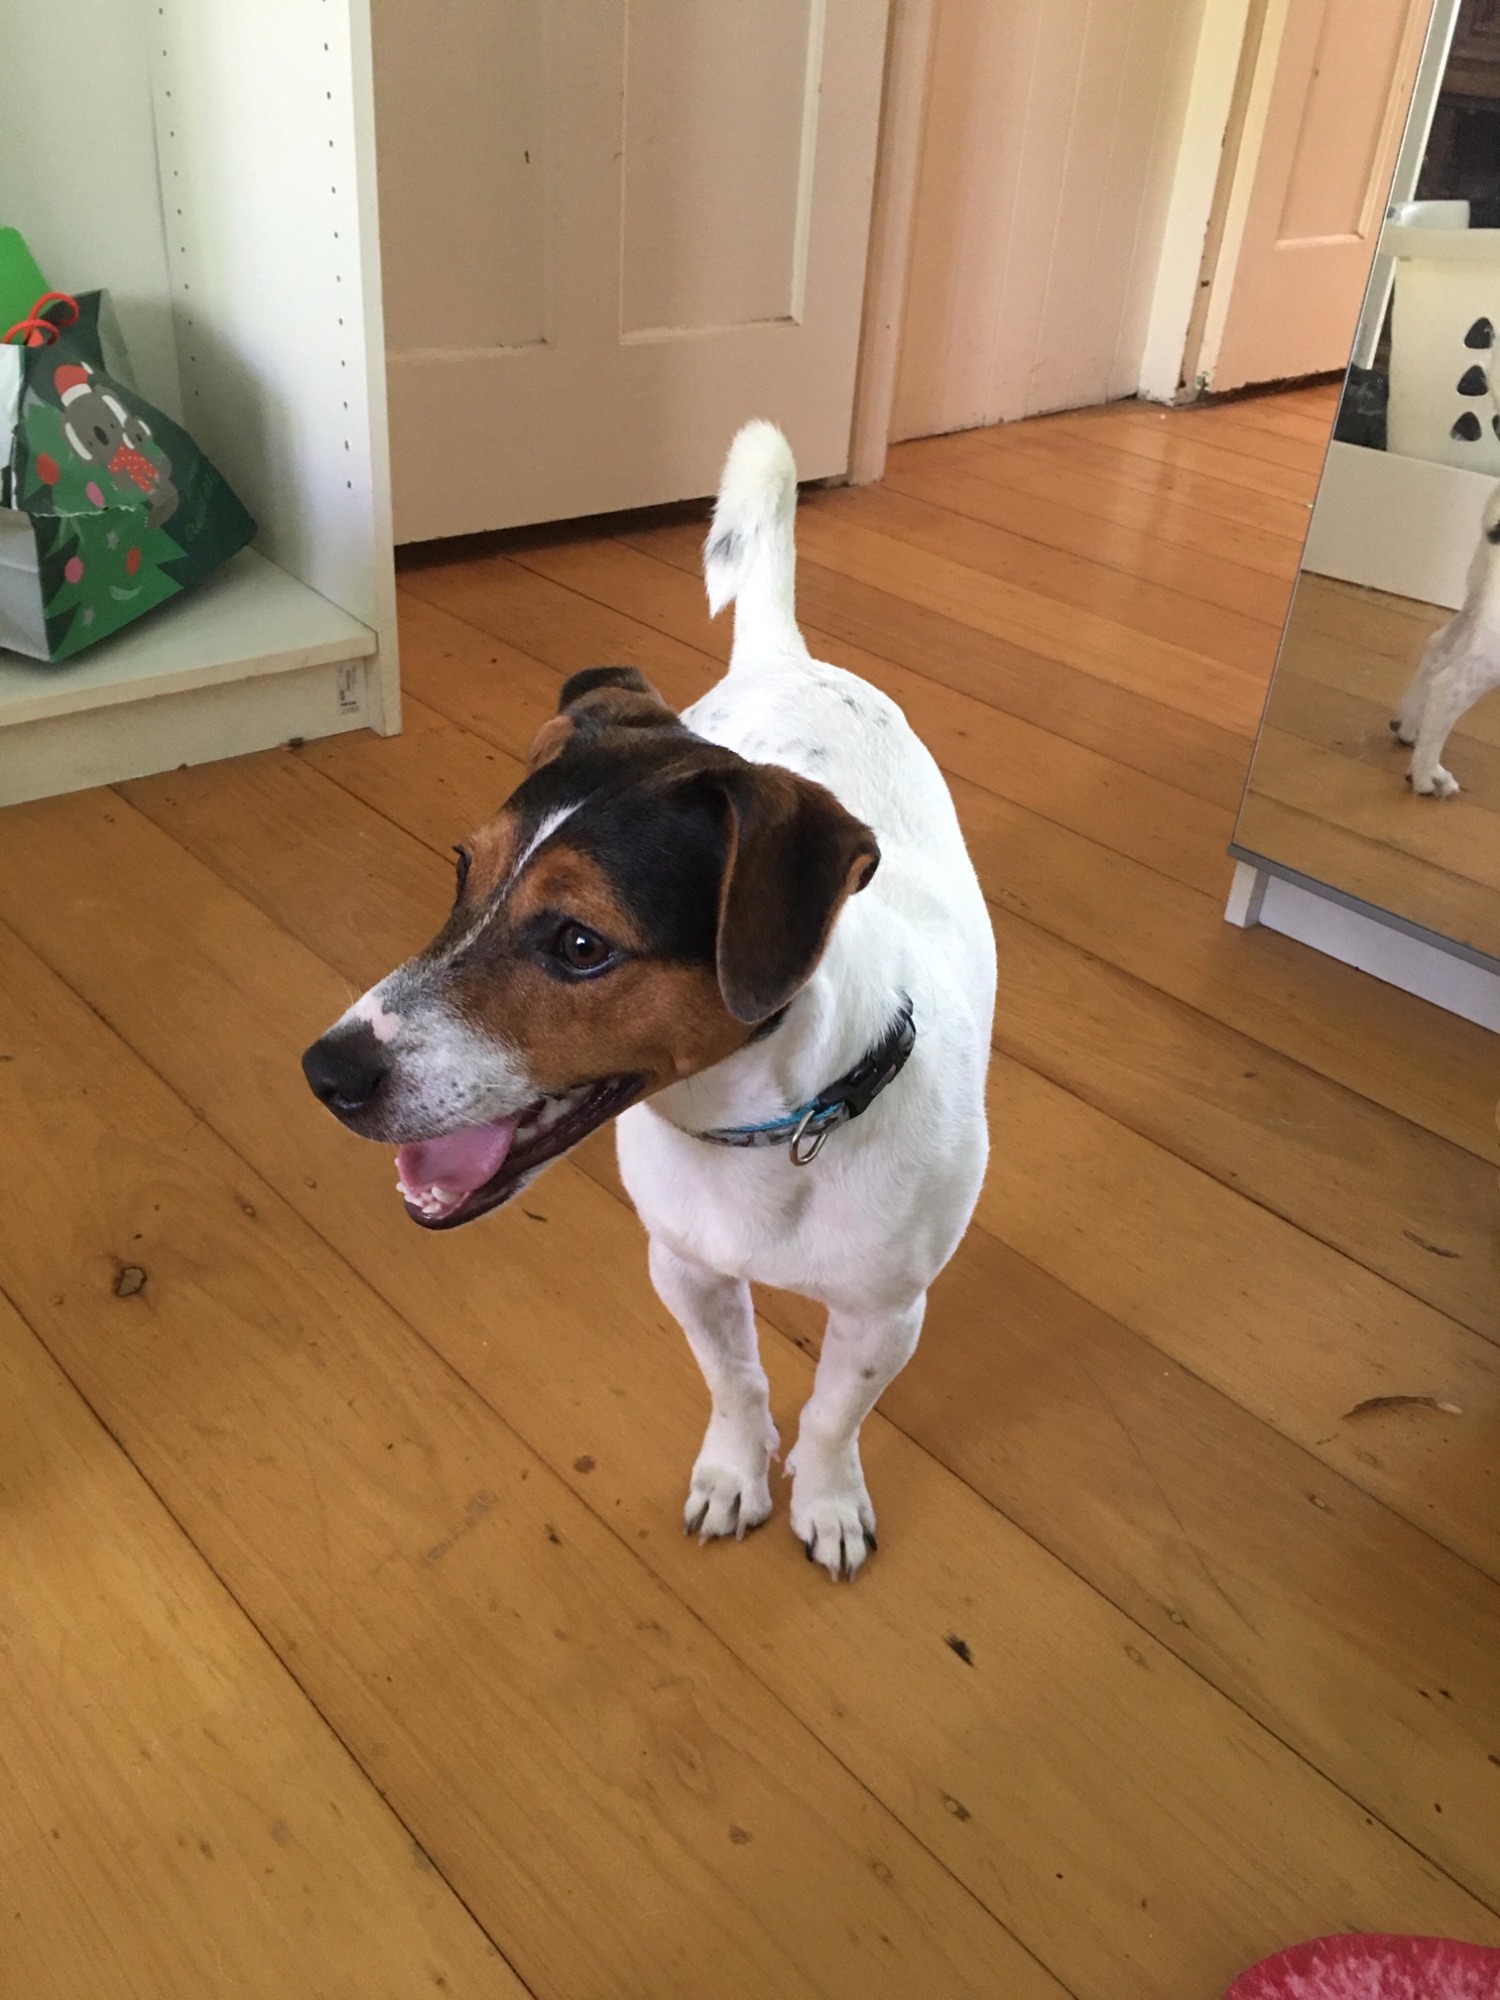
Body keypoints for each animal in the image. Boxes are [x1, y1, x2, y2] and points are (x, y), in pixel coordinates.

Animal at [302, 421, 996, 1578]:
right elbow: (738, 1380)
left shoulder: (886, 1314)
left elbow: (831, 1416)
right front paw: (733, 1471)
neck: (762, 1133)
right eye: (461, 871)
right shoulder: (685, 1268)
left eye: (581, 944)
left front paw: (826, 1498)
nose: (324, 1072)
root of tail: (780, 655)